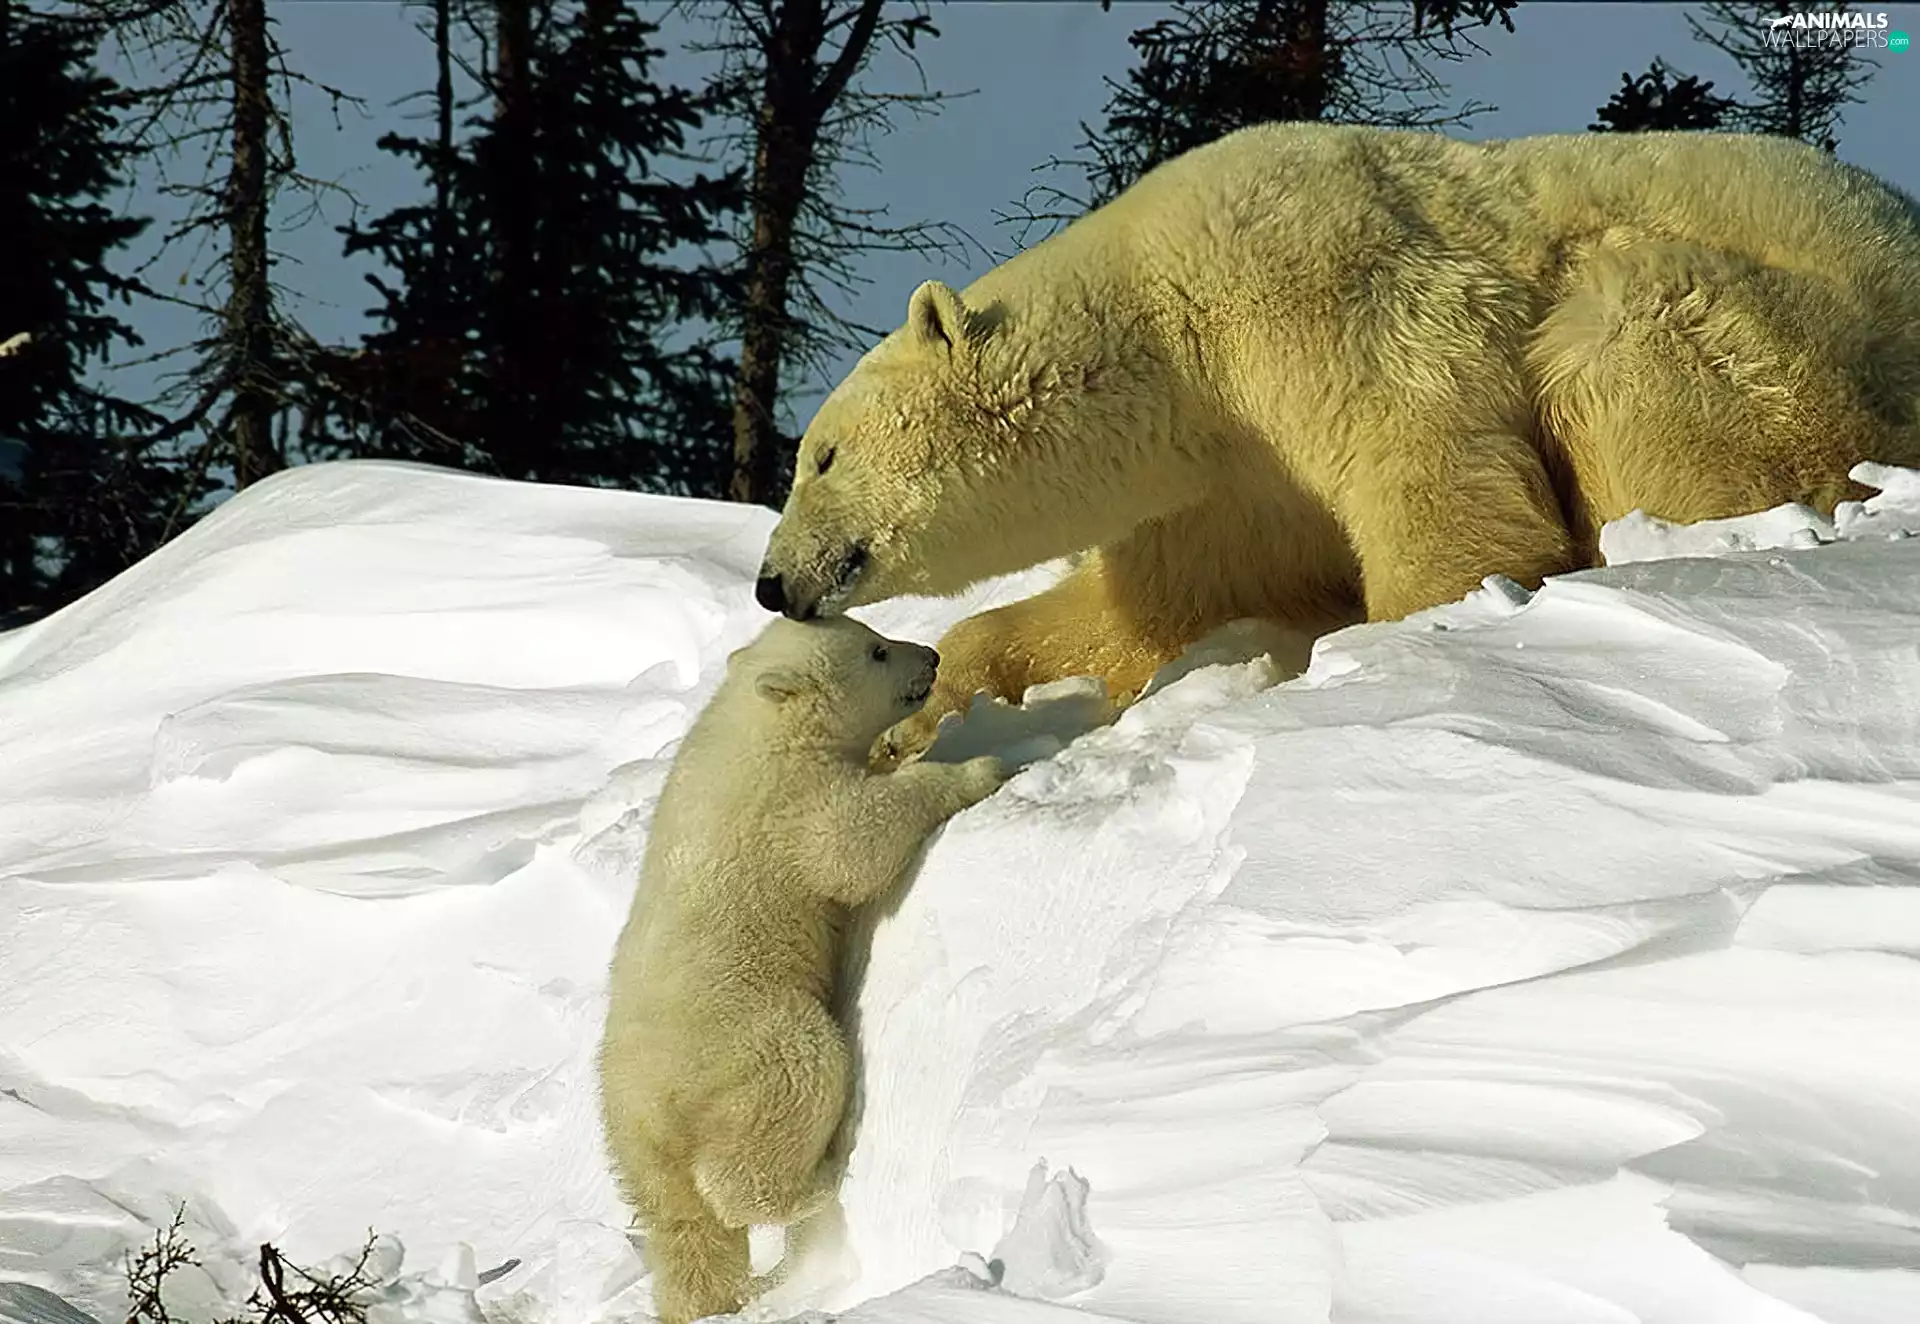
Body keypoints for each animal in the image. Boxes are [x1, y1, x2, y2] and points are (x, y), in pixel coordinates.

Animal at [596, 615, 1007, 1324]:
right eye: (877, 650)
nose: (930, 656)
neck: (760, 722)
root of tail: (649, 1107)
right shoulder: (793, 806)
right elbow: (856, 842)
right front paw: (981, 765)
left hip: (631, 1145)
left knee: (684, 1227)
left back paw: (703, 1298)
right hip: (749, 1040)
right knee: (785, 1098)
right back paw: (818, 1182)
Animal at [749, 123, 1920, 762]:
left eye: (822, 455)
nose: (771, 582)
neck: (1171, 324)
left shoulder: (1325, 298)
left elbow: (1441, 477)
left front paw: (1395, 648)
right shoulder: (1226, 483)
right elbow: (1153, 608)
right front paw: (925, 712)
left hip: (1786, 349)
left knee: (1621, 326)